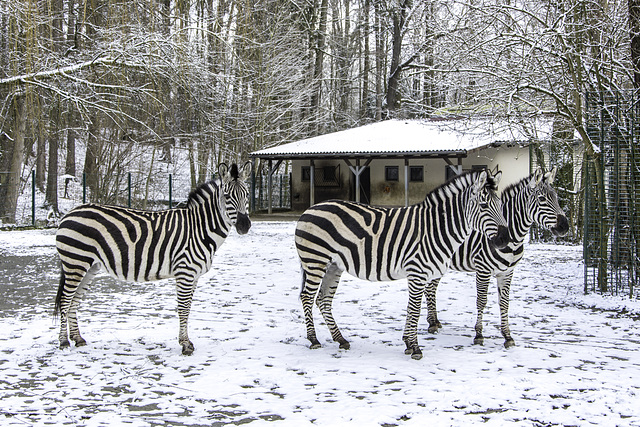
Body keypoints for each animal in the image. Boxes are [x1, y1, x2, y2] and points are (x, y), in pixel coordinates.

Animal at [54, 162, 252, 356]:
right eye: (227, 196)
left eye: (247, 194)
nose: (244, 226)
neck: (199, 229)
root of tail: (69, 212)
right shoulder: (185, 272)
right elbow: (183, 308)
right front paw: (185, 345)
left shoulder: (194, 275)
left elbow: (188, 308)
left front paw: (186, 342)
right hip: (75, 262)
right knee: (65, 300)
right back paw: (63, 342)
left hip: (89, 266)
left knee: (74, 300)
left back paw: (78, 339)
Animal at [296, 169, 510, 360]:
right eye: (483, 205)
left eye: (500, 204)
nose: (505, 240)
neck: (436, 228)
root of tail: (310, 208)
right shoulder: (418, 273)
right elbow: (415, 309)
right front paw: (415, 348)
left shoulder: (421, 275)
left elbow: (411, 308)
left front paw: (408, 343)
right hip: (315, 261)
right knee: (307, 297)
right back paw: (314, 339)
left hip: (333, 266)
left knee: (323, 300)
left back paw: (341, 339)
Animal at [424, 166, 568, 348]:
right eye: (542, 199)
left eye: (556, 197)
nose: (565, 227)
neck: (513, 238)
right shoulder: (483, 270)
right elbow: (481, 300)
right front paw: (479, 335)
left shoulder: (507, 272)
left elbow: (504, 303)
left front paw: (507, 336)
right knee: (429, 288)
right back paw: (432, 323)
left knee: (431, 287)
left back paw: (434, 321)